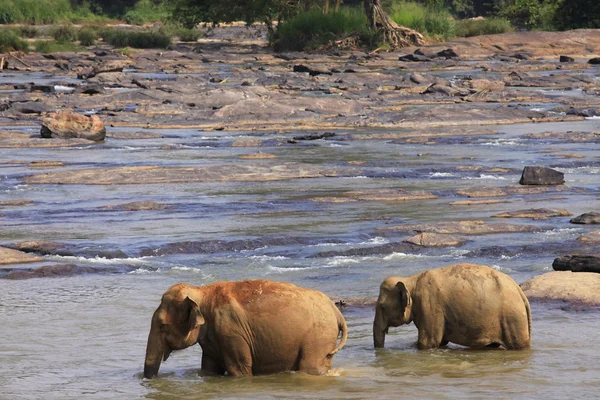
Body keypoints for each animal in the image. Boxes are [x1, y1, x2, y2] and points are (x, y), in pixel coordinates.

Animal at [144, 278, 346, 378]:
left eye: (162, 325)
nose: (147, 379)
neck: (202, 292)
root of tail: (336, 310)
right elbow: (209, 369)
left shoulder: (231, 330)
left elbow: (239, 370)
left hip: (318, 336)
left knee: (310, 367)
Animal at [372, 262, 532, 350]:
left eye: (383, 307)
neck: (411, 280)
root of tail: (520, 292)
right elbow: (441, 341)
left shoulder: (430, 305)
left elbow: (428, 342)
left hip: (512, 318)